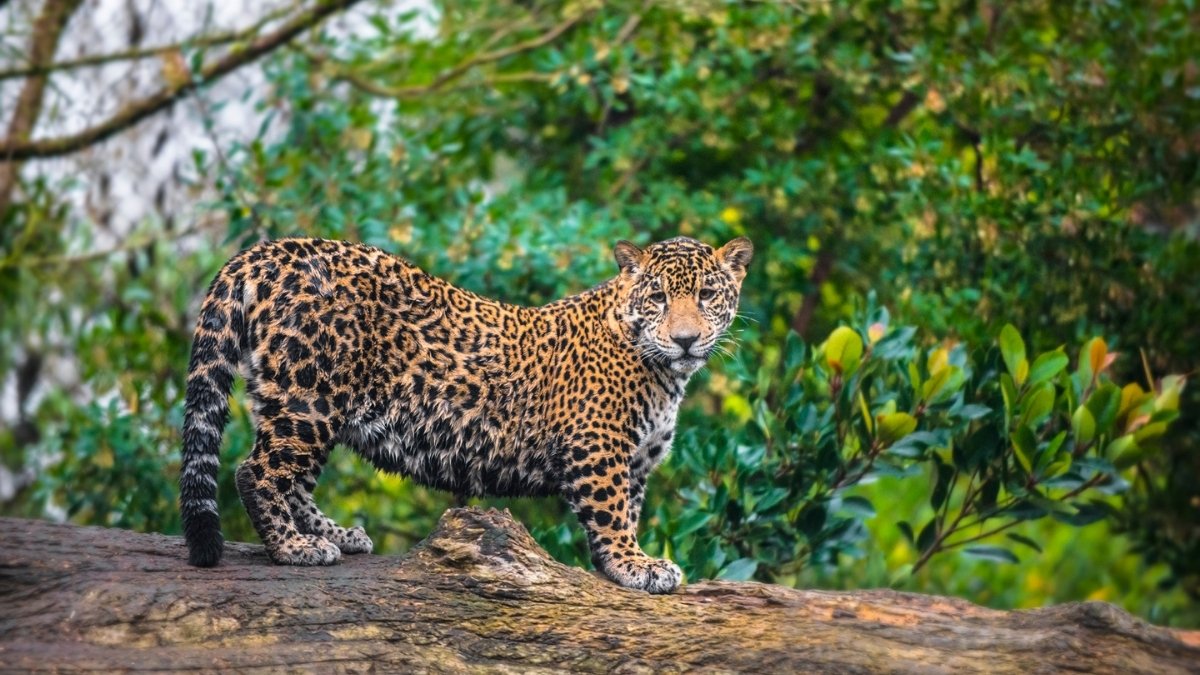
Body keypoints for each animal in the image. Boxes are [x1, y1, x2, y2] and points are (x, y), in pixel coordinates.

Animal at [179, 235, 753, 594]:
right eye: (657, 297)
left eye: (707, 294)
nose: (685, 339)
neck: (666, 375)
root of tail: (269, 251)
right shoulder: (599, 450)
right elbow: (612, 517)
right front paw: (635, 566)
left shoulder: (636, 461)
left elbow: (628, 513)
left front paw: (628, 564)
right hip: (309, 395)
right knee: (256, 472)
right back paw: (295, 548)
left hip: (308, 402)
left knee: (293, 479)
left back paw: (335, 535)